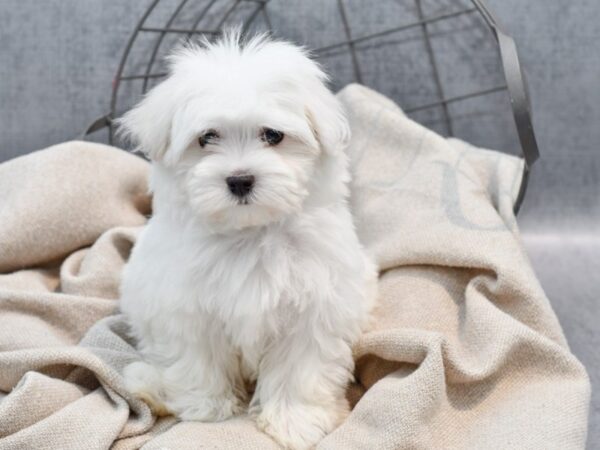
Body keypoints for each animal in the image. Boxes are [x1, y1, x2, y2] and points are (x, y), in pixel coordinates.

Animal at [119, 31, 378, 450]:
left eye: (273, 135)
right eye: (207, 137)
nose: (239, 180)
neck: (251, 232)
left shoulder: (314, 306)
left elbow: (300, 368)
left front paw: (294, 422)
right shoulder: (186, 307)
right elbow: (198, 358)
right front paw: (207, 407)